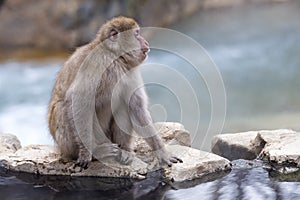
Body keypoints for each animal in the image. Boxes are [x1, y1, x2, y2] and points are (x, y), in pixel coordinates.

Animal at [48, 16, 182, 168]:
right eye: (136, 34)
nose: (146, 42)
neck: (115, 57)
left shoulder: (129, 71)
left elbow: (137, 108)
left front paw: (162, 153)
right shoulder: (97, 62)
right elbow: (77, 102)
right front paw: (86, 154)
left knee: (123, 104)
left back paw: (125, 150)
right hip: (69, 145)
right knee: (62, 108)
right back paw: (97, 151)